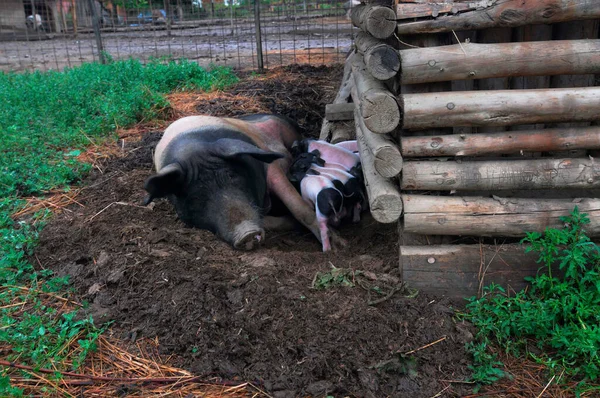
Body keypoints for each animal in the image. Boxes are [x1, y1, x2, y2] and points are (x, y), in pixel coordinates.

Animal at [140, 113, 342, 252]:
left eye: (232, 175)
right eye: (196, 195)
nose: (246, 233)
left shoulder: (270, 166)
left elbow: (298, 206)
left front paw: (338, 246)